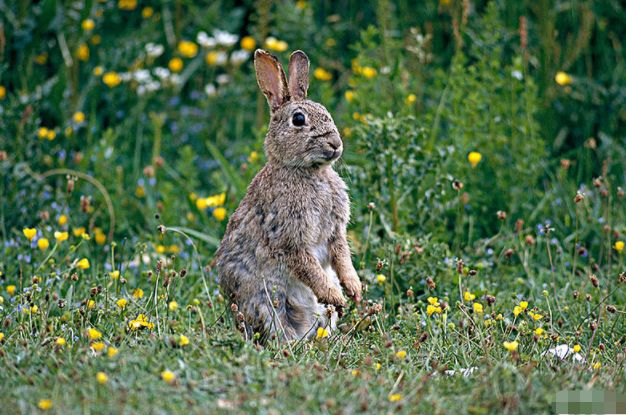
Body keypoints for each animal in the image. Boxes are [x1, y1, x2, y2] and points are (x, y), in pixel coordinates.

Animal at [214, 49, 360, 342]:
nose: (335, 144)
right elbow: (309, 268)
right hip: (270, 304)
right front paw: (336, 296)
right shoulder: (289, 238)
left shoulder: (336, 232)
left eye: (326, 112)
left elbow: (342, 257)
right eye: (299, 120)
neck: (308, 171)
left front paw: (354, 290)